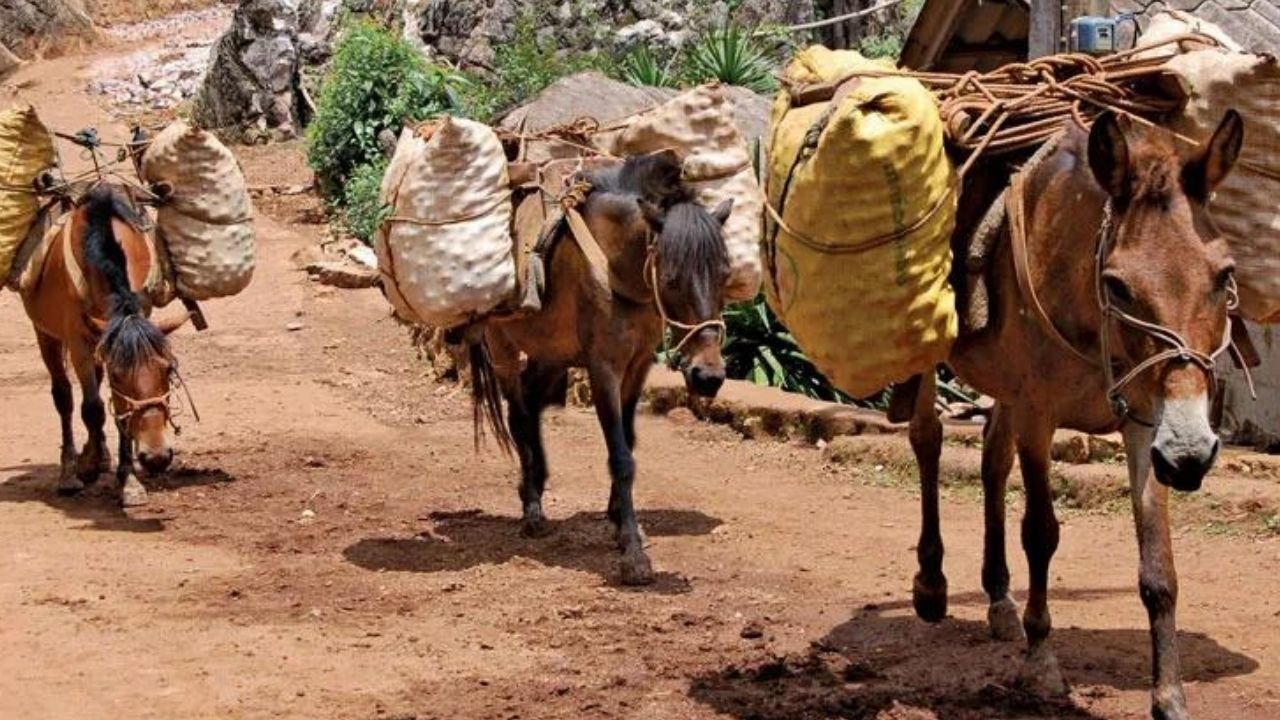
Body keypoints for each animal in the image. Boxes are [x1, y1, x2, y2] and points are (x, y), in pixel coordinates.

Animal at [20, 184, 186, 504]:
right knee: (64, 397)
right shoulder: (78, 344)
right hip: (46, 333)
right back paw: (70, 472)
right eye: (120, 375)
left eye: (169, 370)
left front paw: (128, 480)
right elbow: (93, 408)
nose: (156, 457)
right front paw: (88, 467)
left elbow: (118, 409)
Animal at [471, 151, 732, 584]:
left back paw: (536, 487)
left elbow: (629, 440)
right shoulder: (604, 368)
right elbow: (621, 457)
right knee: (519, 417)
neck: (615, 265)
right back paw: (532, 510)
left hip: (551, 352)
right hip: (503, 348)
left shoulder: (638, 365)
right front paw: (633, 556)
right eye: (672, 279)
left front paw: (620, 523)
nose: (708, 377)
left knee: (531, 403)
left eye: (725, 276)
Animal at [901, 109, 1239, 717]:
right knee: (927, 437)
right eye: (1118, 285)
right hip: (934, 353)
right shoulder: (1040, 414)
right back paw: (932, 585)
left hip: (1008, 388)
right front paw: (1041, 663)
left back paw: (999, 600)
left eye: (1223, 276)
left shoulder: (1146, 422)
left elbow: (1159, 564)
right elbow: (1040, 531)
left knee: (991, 459)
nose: (1190, 455)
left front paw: (1169, 696)